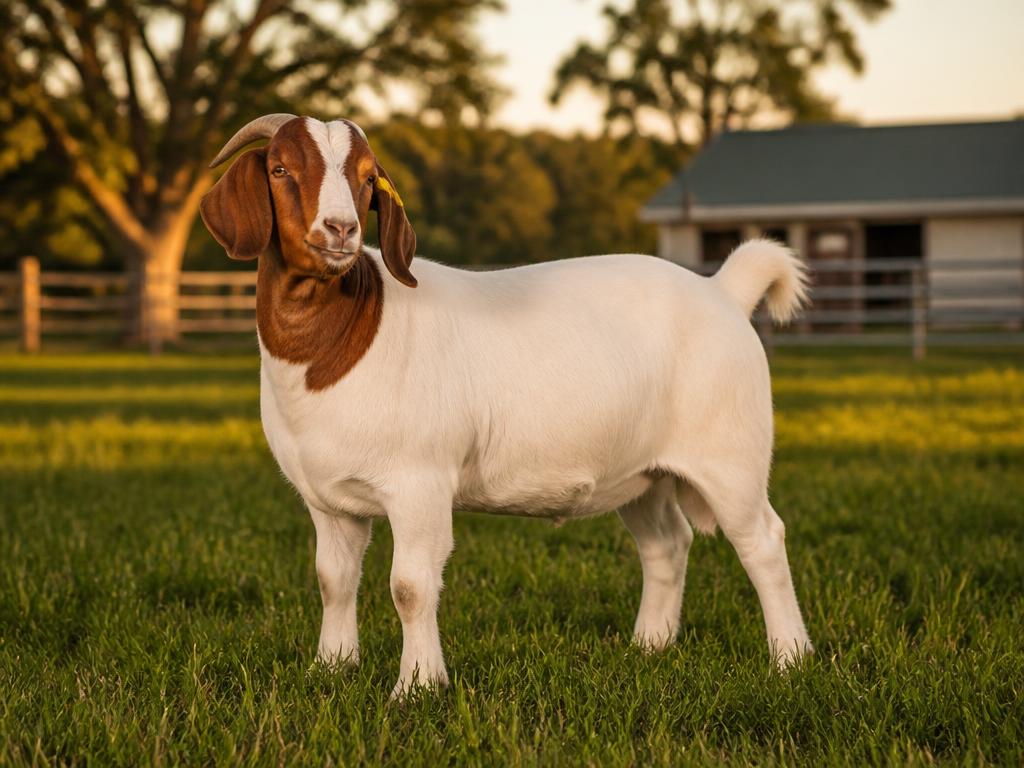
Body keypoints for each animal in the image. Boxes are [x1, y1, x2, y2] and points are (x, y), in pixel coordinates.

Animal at [200, 114, 813, 698]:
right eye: (279, 168)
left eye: (368, 179)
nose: (341, 229)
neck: (342, 338)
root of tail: (723, 291)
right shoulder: (328, 500)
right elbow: (332, 579)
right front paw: (330, 669)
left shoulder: (420, 484)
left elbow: (410, 587)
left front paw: (417, 686)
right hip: (643, 473)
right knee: (667, 543)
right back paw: (649, 647)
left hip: (730, 455)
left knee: (762, 541)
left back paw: (790, 659)